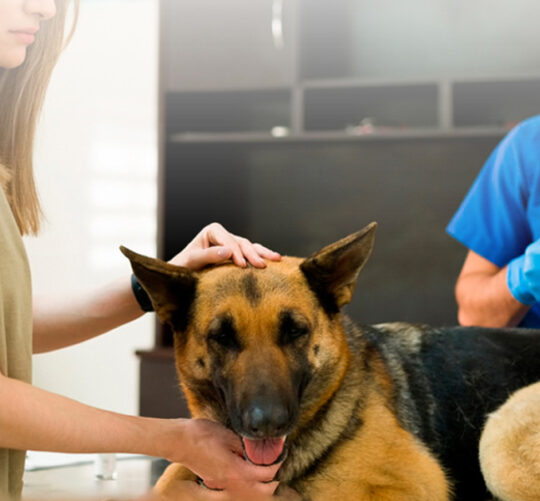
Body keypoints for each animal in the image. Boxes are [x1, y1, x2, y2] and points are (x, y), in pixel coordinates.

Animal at [120, 223, 540, 500]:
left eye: (294, 331)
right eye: (222, 336)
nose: (266, 423)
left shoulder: (413, 486)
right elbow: (168, 480)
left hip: (497, 440)